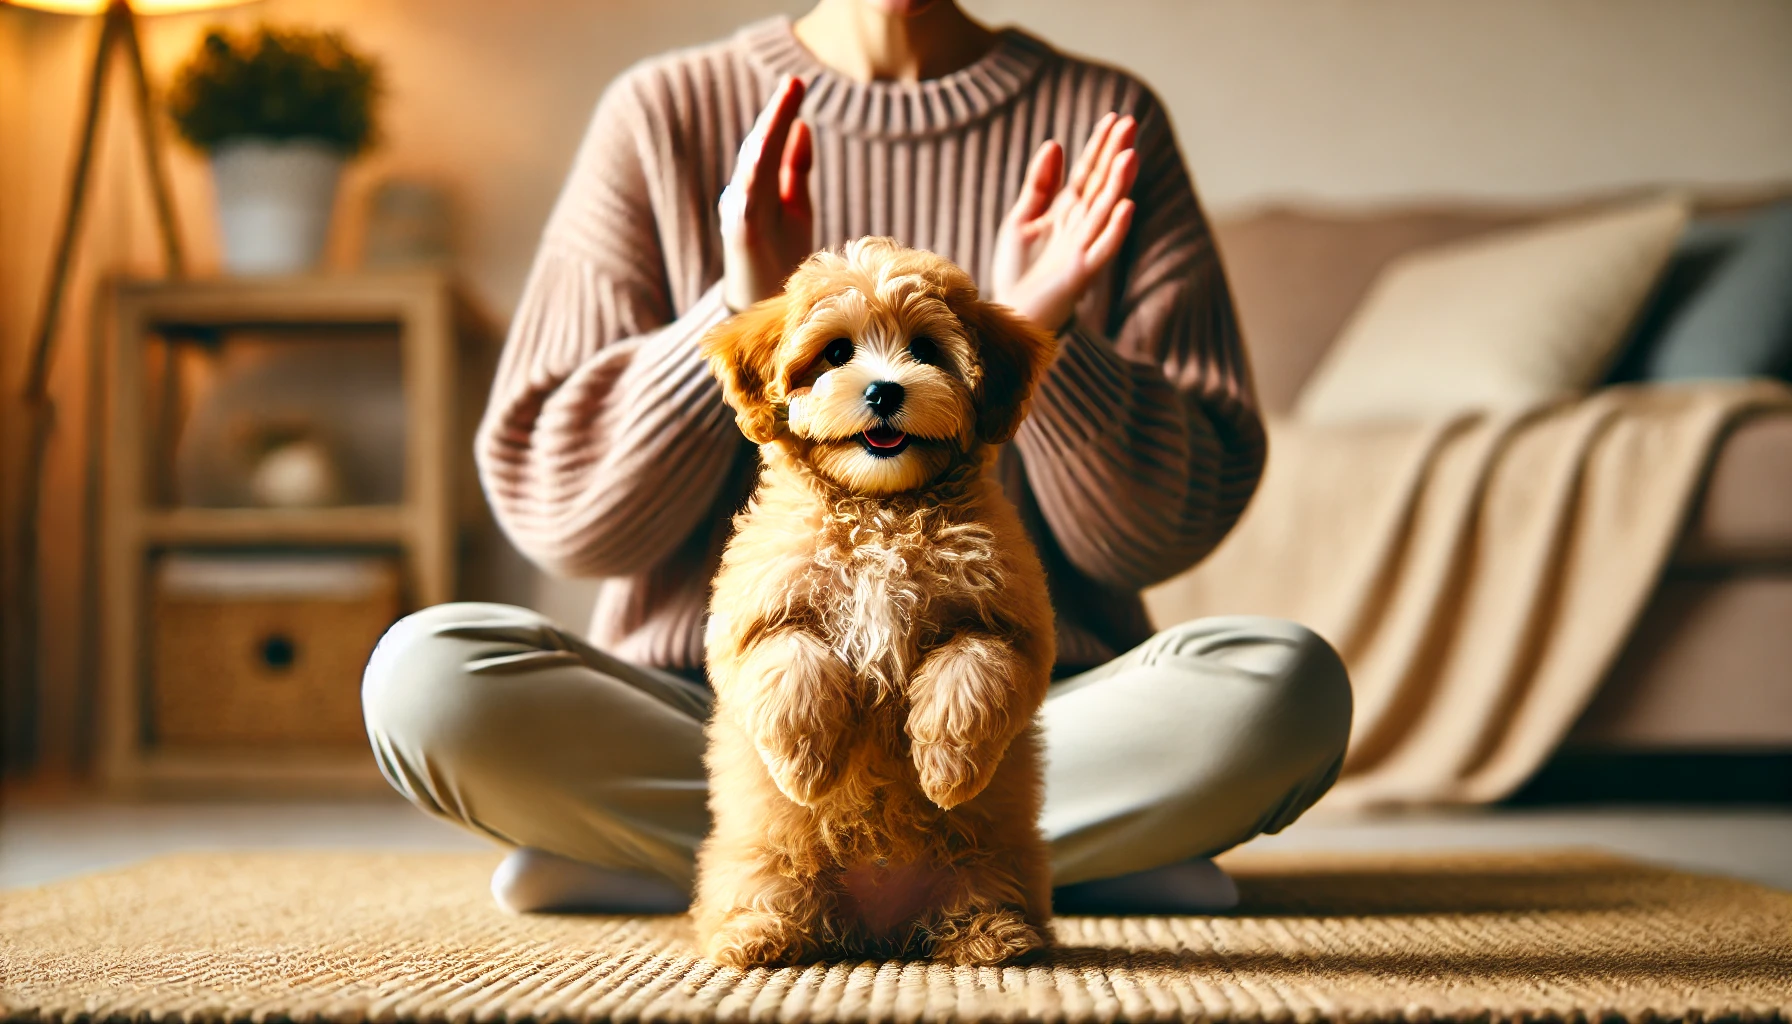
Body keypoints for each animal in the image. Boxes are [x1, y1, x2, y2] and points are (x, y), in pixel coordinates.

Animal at [695, 238, 1060, 968]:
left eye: (925, 349)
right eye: (836, 353)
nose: (884, 390)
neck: (882, 509)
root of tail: (877, 929)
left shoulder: (1009, 619)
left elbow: (972, 669)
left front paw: (947, 771)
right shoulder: (753, 611)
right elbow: (789, 657)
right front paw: (807, 770)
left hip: (997, 856)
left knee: (982, 888)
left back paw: (994, 935)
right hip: (755, 855)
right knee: (768, 887)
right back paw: (756, 936)